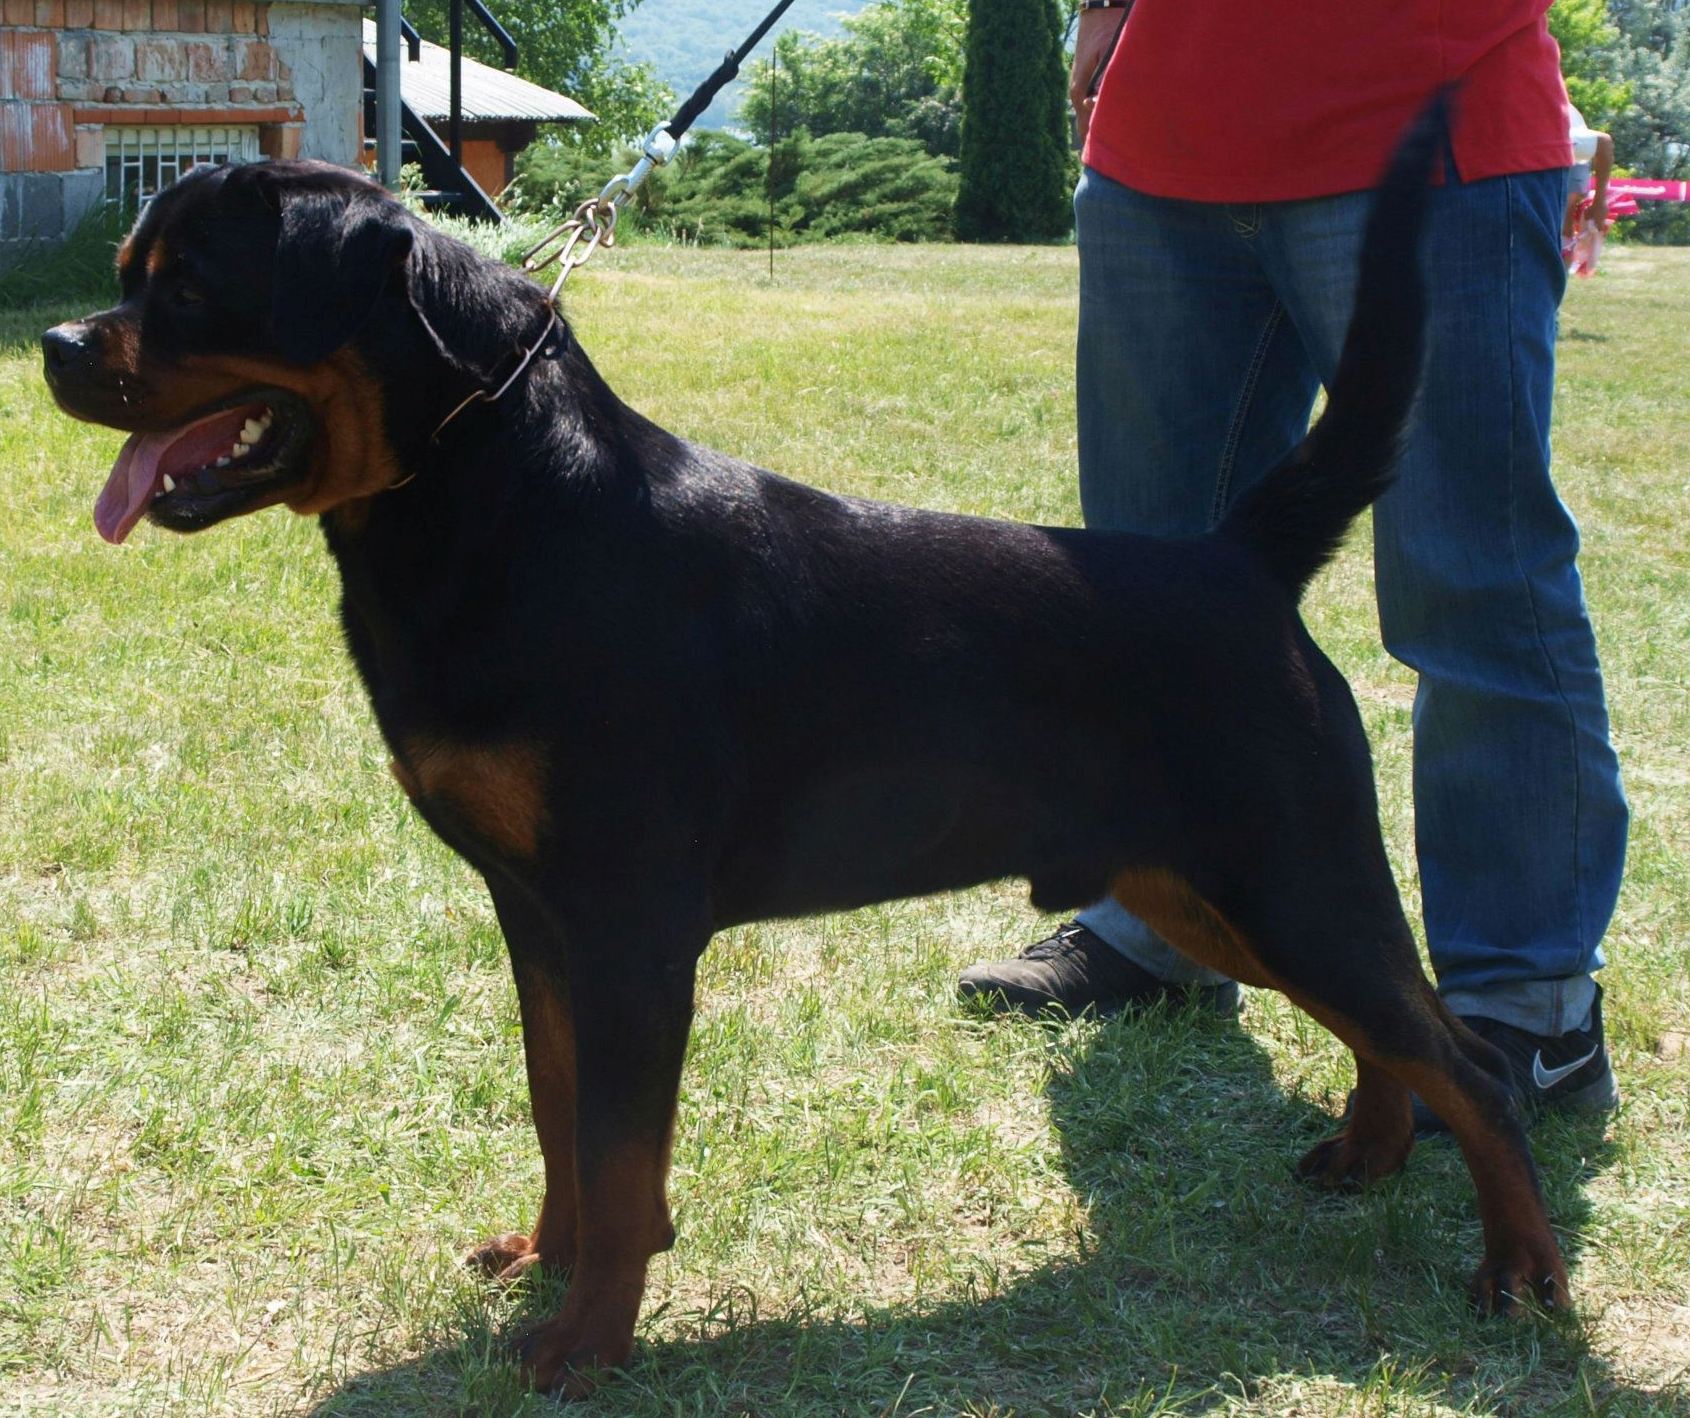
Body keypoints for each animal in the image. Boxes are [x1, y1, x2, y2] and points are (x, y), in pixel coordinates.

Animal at [42, 110, 1568, 1399]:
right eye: (130, 275)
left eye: (189, 287)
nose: (58, 342)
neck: (502, 504)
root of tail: (1239, 559)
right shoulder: (536, 916)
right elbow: (557, 1109)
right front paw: (544, 1260)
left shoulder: (630, 926)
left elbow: (619, 1147)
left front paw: (585, 1344)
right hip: (1205, 888)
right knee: (1389, 1032)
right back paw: (1365, 1160)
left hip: (1287, 871)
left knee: (1468, 1061)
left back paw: (1521, 1274)